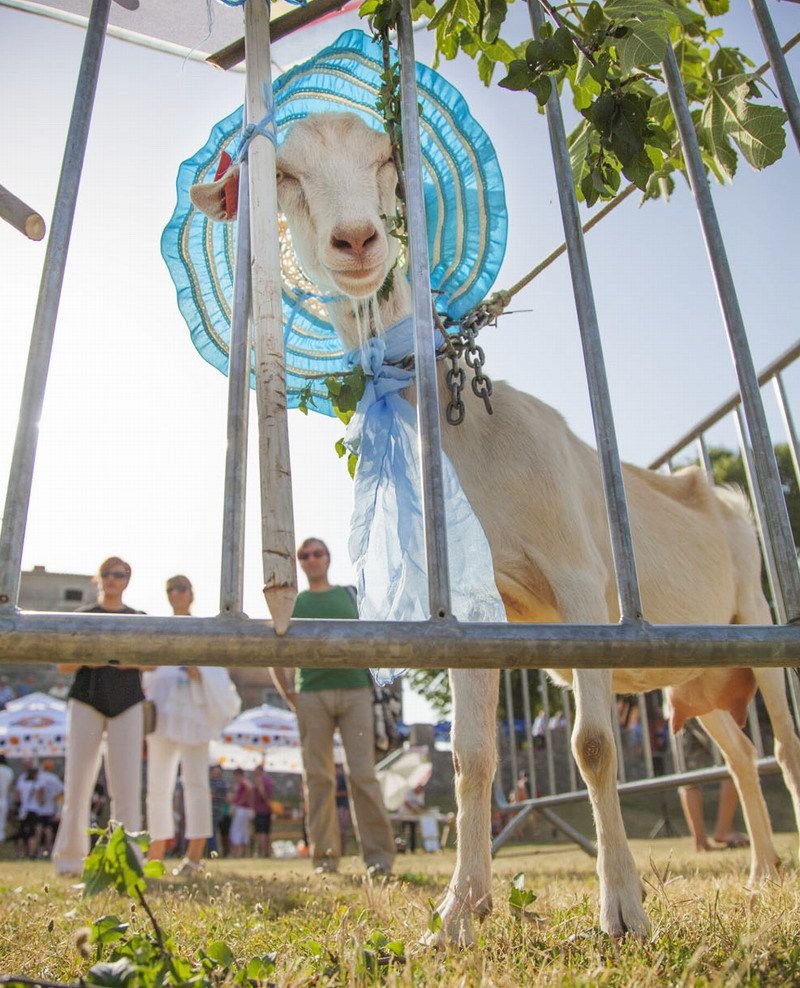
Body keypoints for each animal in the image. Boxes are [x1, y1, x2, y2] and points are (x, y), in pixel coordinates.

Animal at [192, 112, 800, 944]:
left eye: (386, 157)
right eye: (283, 173)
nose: (356, 240)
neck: (472, 438)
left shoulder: (582, 585)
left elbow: (594, 745)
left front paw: (622, 907)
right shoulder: (475, 610)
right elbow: (471, 758)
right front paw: (458, 911)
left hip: (754, 616)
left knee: (787, 743)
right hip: (692, 671)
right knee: (740, 754)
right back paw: (762, 870)